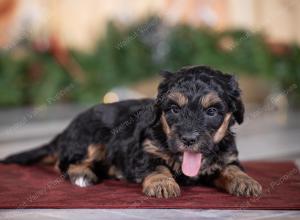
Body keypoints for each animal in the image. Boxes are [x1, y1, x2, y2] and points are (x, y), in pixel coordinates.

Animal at [0, 66, 262, 199]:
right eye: (174, 109)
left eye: (212, 111)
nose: (188, 139)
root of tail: (65, 132)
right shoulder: (145, 149)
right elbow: (155, 166)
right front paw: (162, 183)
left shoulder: (227, 156)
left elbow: (232, 167)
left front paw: (246, 181)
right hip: (90, 137)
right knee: (64, 163)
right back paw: (82, 175)